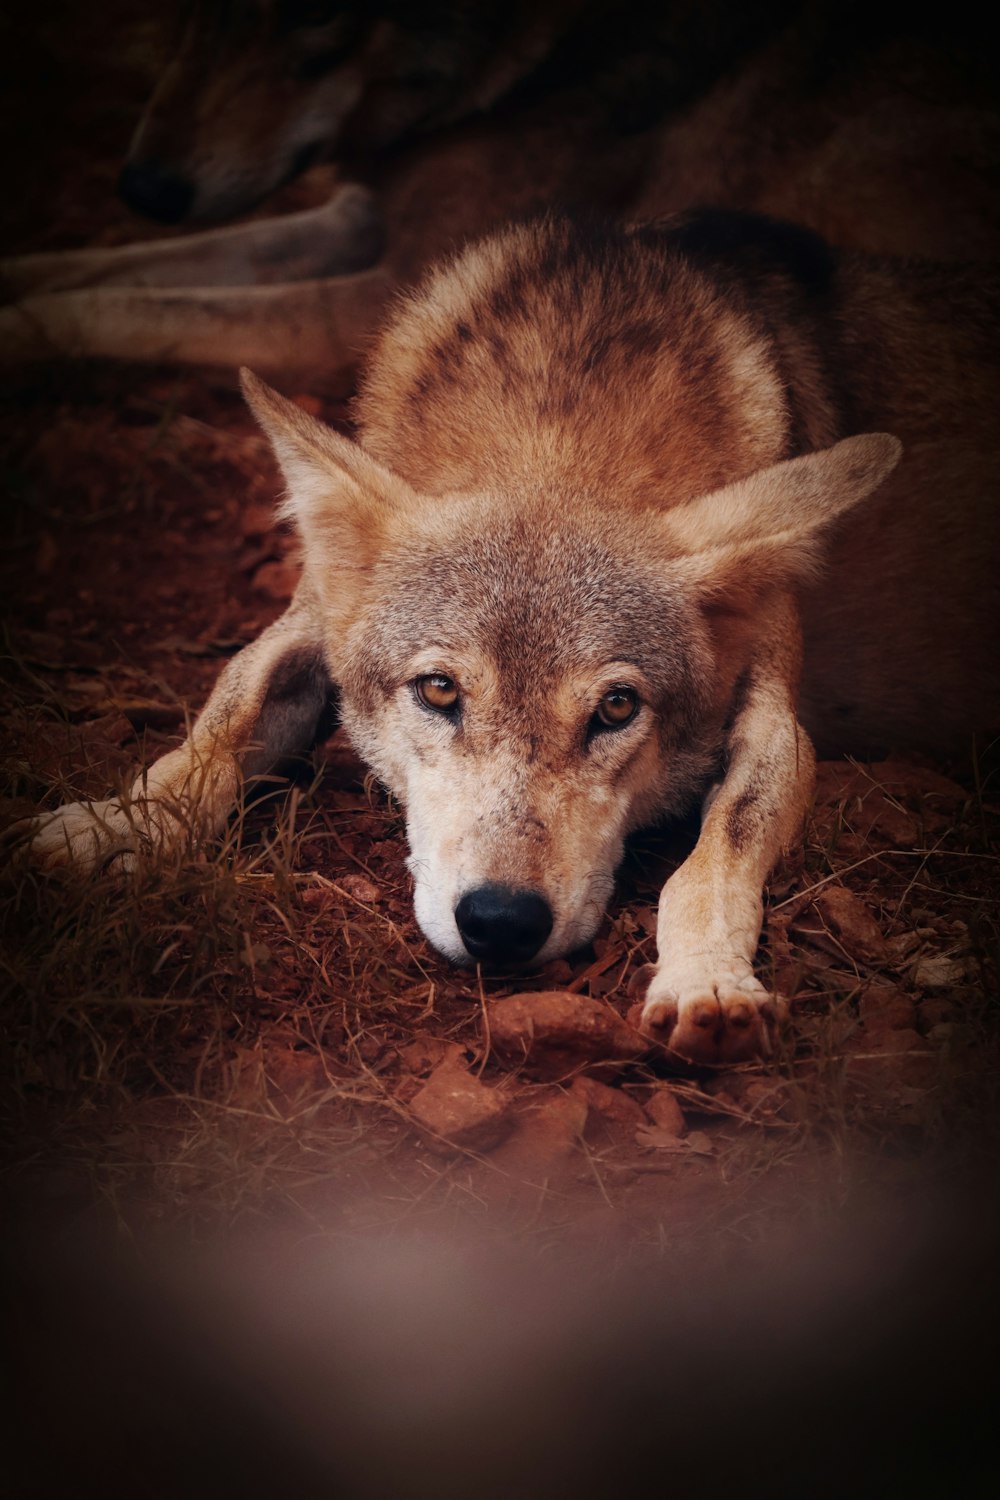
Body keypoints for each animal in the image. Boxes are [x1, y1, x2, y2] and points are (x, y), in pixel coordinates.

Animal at [23, 214, 1000, 1068]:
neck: (559, 434)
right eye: (440, 691)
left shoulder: (775, 723)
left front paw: (707, 983)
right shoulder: (306, 625)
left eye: (616, 709)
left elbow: (711, 861)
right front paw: (116, 828)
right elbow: (213, 732)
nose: (499, 923)